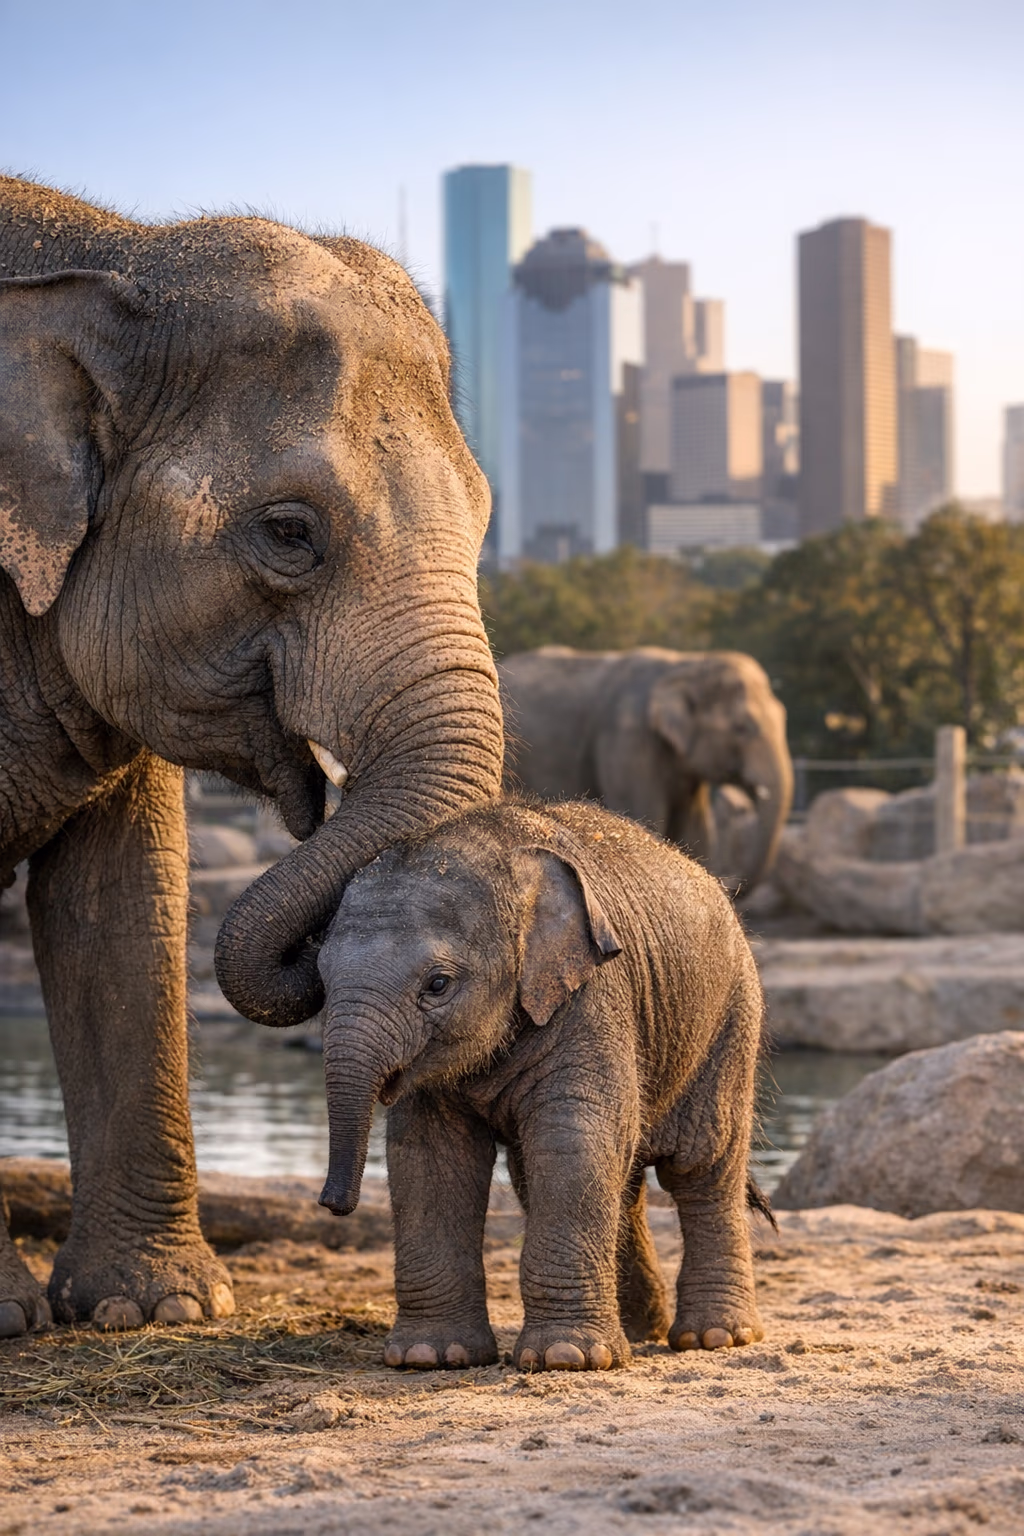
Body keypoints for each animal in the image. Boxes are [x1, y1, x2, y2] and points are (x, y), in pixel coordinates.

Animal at [312, 796, 767, 1372]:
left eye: (437, 984)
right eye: (321, 980)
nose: (333, 1204)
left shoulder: (592, 995)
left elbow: (573, 1138)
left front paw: (568, 1358)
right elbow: (431, 1155)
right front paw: (430, 1356)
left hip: (729, 1019)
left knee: (702, 1164)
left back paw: (715, 1338)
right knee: (607, 1180)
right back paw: (639, 1330)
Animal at [499, 647, 793, 893]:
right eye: (742, 728)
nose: (731, 884)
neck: (689, 663)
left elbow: (696, 830)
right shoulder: (627, 742)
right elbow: (646, 818)